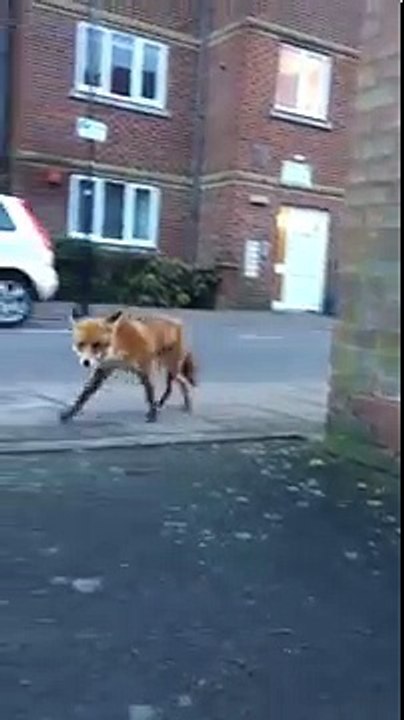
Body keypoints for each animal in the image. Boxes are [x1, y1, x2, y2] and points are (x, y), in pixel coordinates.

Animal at [60, 309, 197, 424]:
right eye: (81, 344)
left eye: (96, 344)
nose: (86, 362)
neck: (118, 347)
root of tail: (177, 321)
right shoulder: (103, 369)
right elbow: (83, 395)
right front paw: (69, 413)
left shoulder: (145, 370)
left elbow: (150, 394)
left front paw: (152, 415)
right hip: (168, 367)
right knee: (180, 383)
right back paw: (172, 403)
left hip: (170, 367)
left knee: (182, 382)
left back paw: (186, 405)